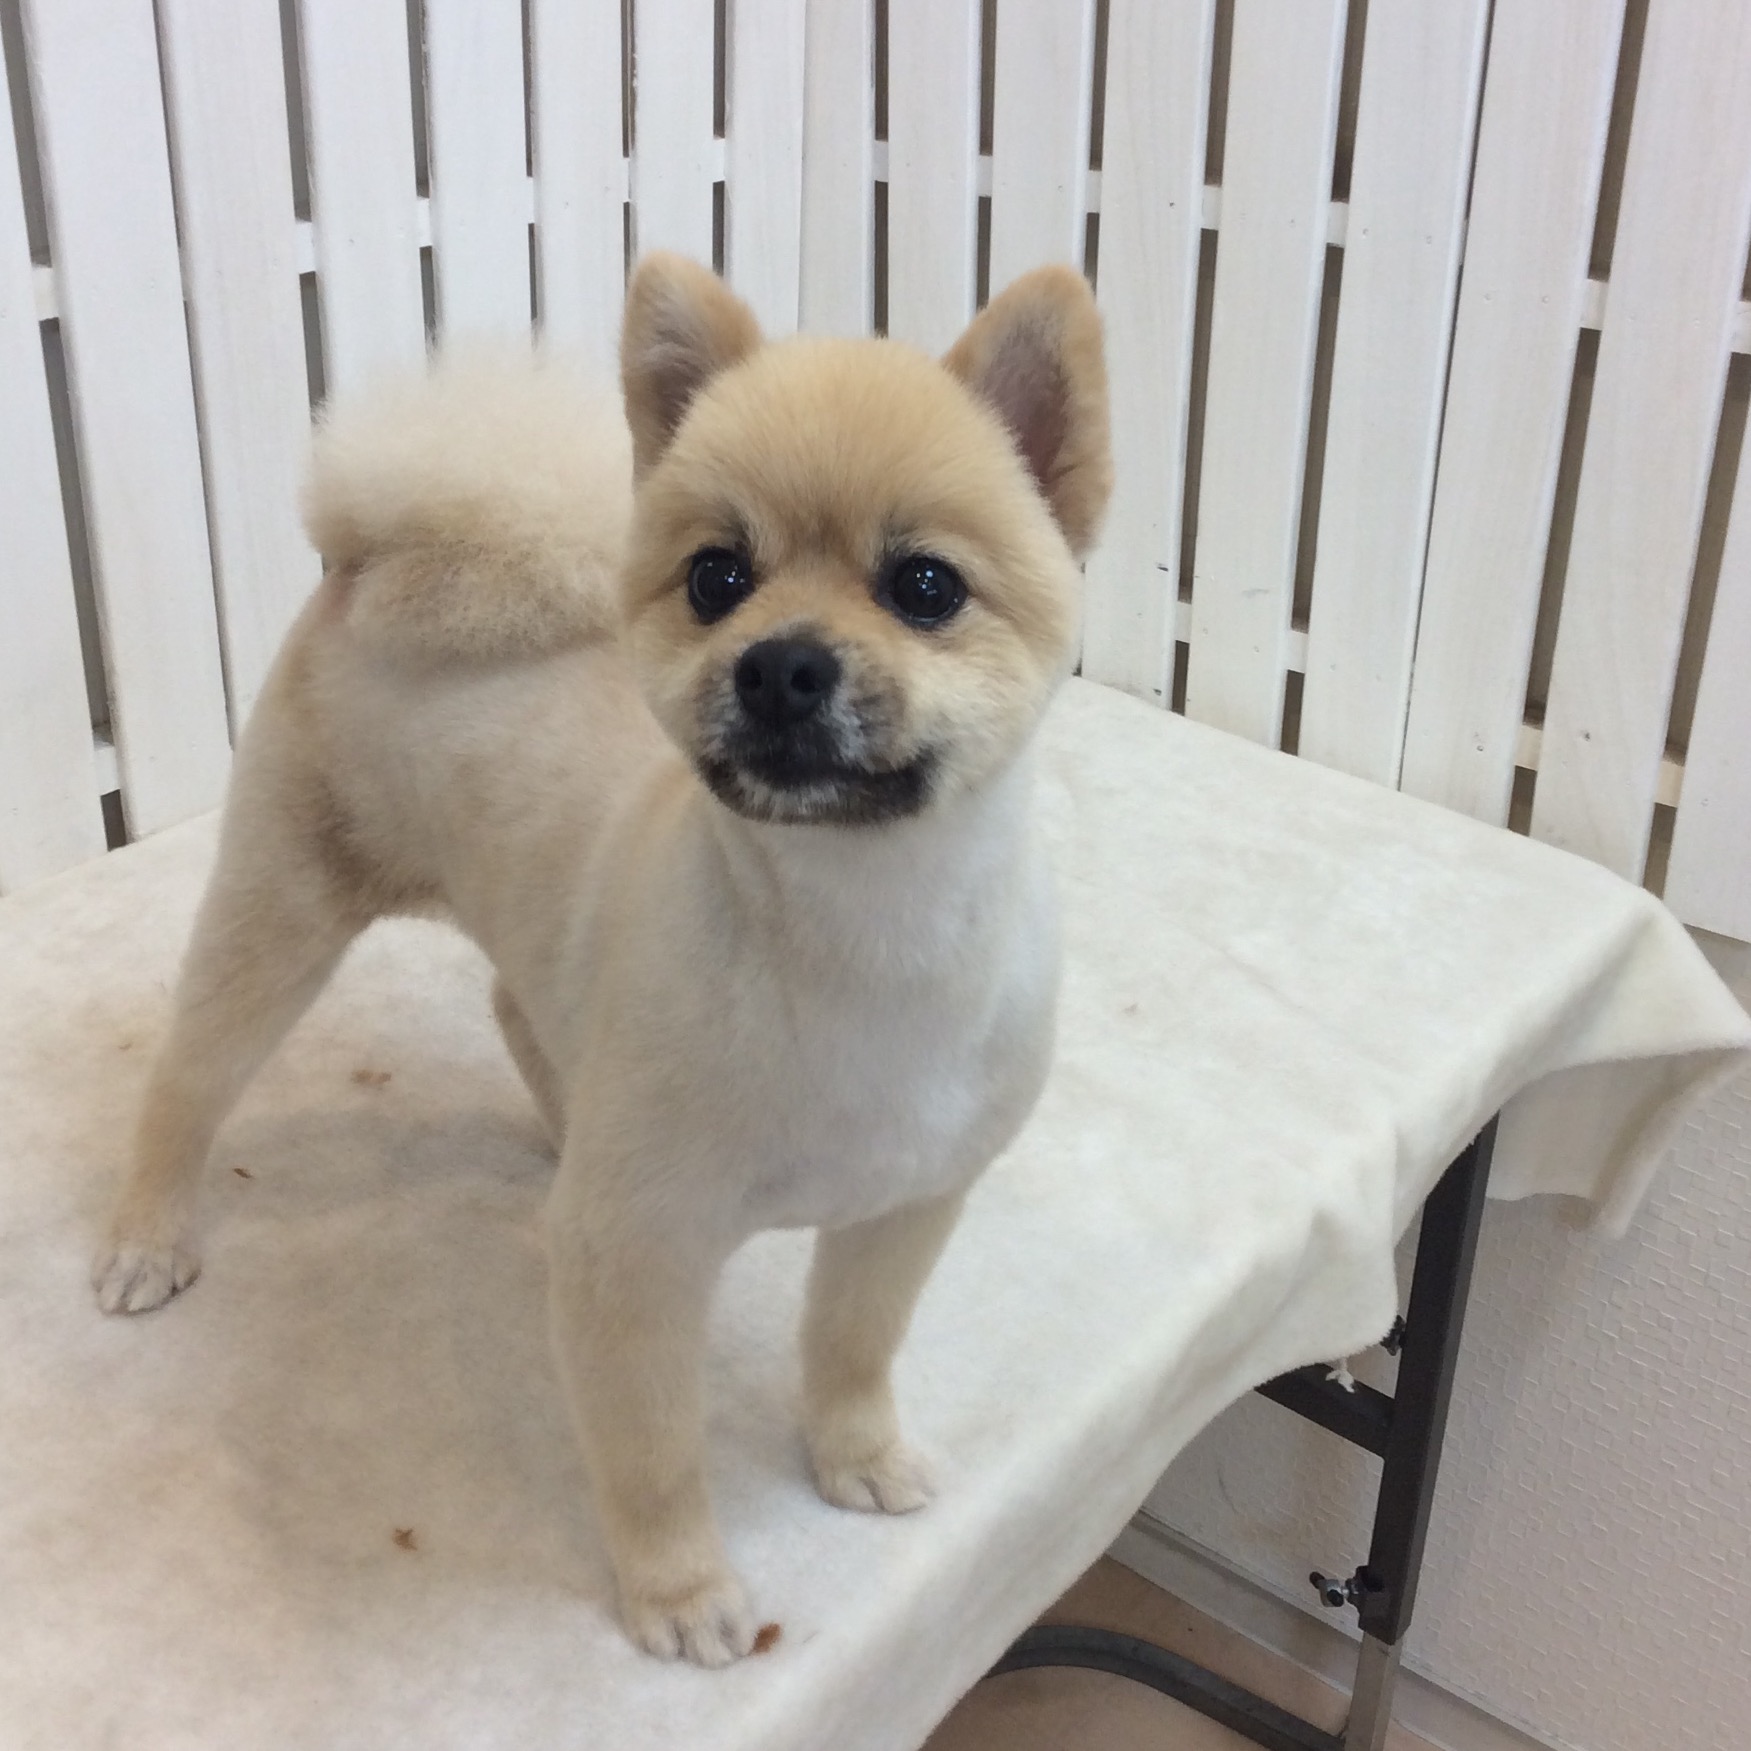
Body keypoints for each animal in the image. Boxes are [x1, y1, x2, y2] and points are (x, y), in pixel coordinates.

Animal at [91, 253, 1112, 1665]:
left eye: (924, 587)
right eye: (715, 577)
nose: (779, 665)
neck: (858, 938)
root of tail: (364, 559)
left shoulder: (906, 1203)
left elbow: (851, 1348)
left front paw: (854, 1453)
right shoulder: (635, 1257)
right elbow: (651, 1449)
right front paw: (675, 1589)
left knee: (519, 1005)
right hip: (280, 905)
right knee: (190, 1073)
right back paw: (149, 1232)